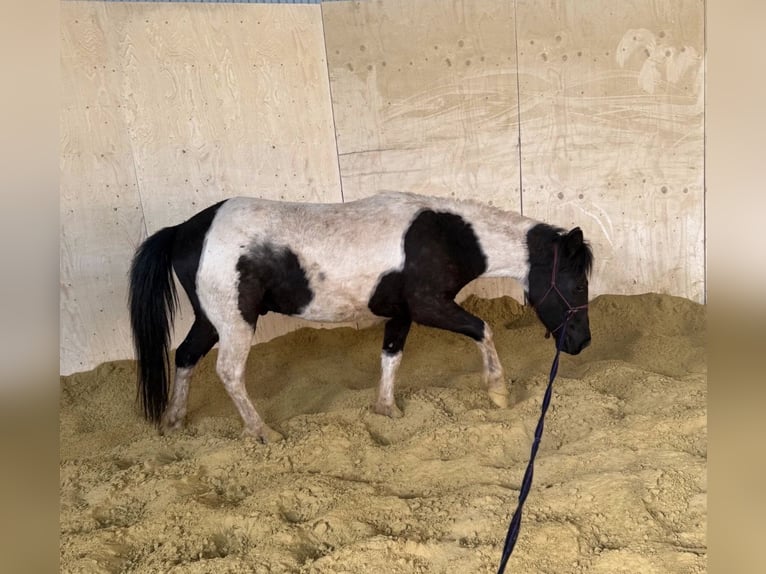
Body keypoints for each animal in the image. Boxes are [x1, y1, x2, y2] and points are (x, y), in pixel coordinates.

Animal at [128, 191, 593, 443]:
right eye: (576, 286)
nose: (581, 342)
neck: (448, 236)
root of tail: (185, 229)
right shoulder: (429, 306)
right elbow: (483, 329)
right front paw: (498, 392)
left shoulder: (402, 313)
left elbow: (391, 356)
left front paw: (387, 410)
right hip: (234, 322)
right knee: (228, 372)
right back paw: (263, 432)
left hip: (209, 321)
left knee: (185, 356)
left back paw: (173, 422)